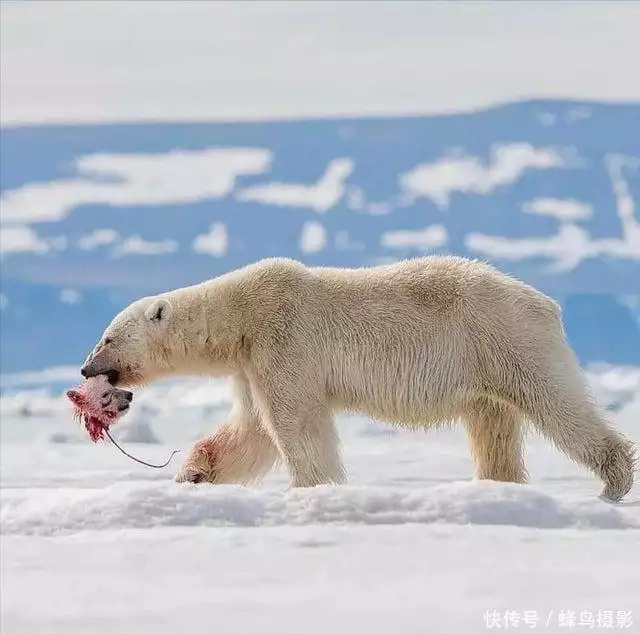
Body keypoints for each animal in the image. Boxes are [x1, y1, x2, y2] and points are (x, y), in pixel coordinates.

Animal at [80, 256, 636, 498]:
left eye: (106, 337)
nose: (86, 368)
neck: (239, 314)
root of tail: (545, 304)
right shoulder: (251, 362)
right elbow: (250, 430)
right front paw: (194, 474)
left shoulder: (283, 340)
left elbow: (295, 424)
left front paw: (313, 487)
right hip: (485, 368)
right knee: (493, 426)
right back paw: (496, 486)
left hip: (507, 339)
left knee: (557, 404)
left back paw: (613, 481)